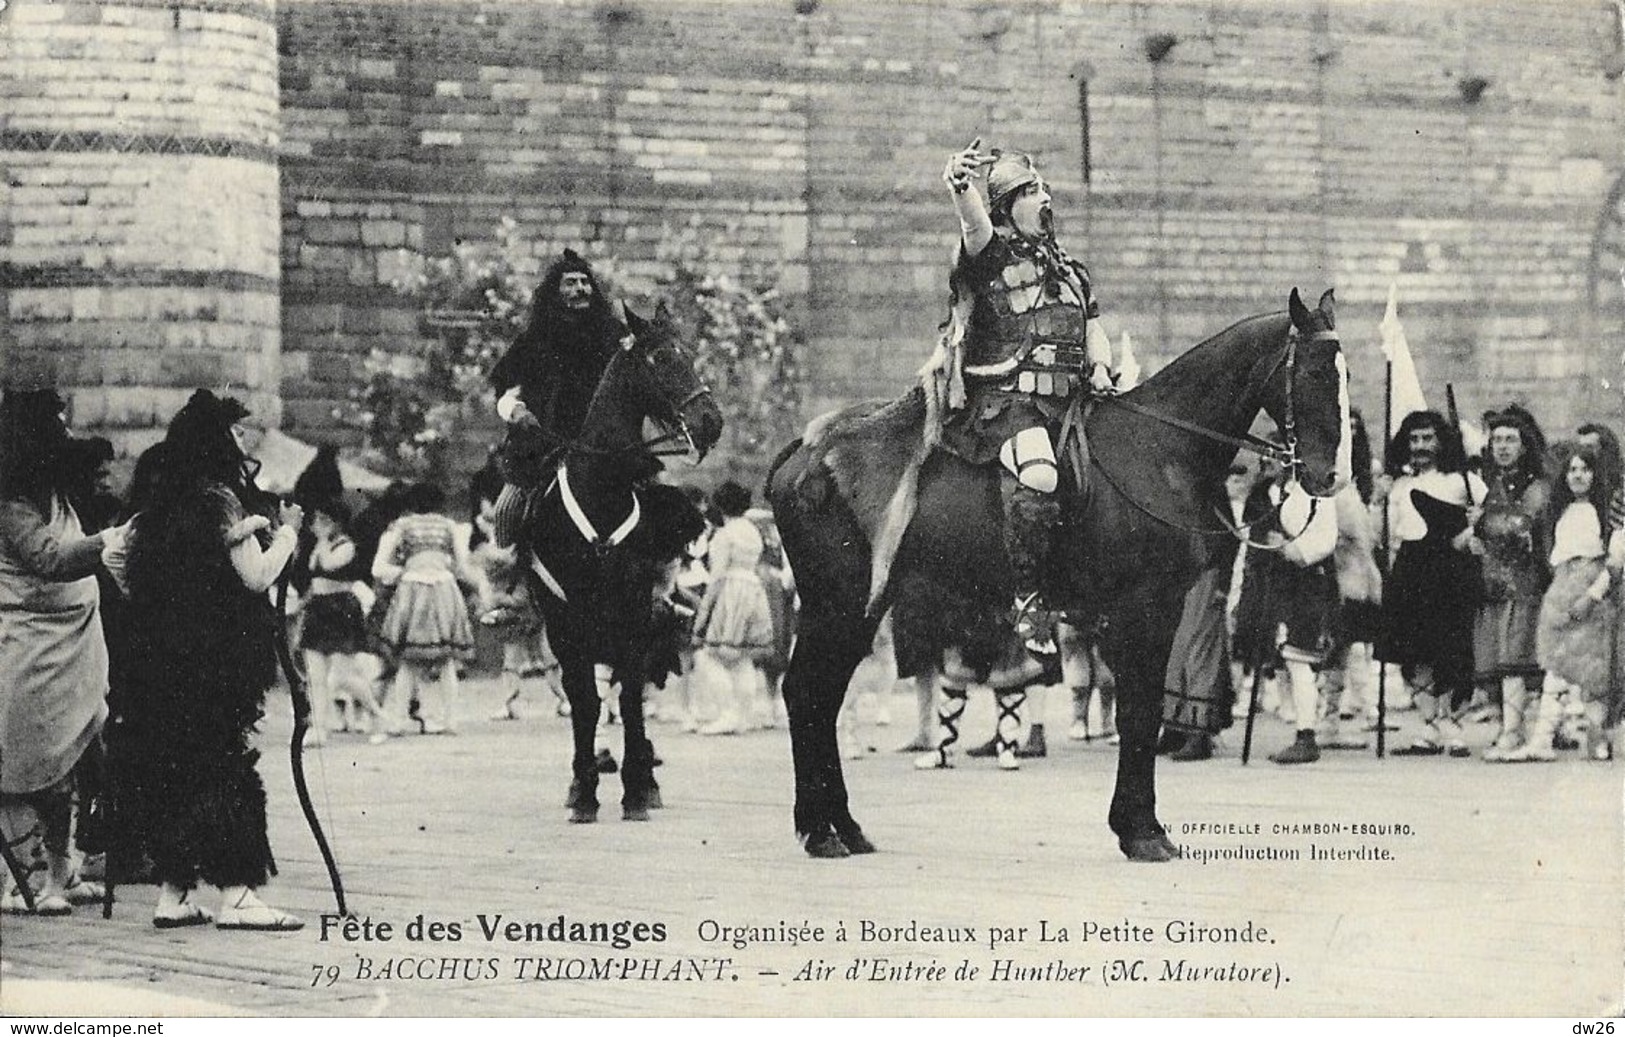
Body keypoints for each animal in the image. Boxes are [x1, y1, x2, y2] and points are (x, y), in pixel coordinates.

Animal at [520, 305, 724, 825]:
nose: (710, 422)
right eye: (660, 359)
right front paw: (583, 791)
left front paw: (637, 790)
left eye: (688, 354)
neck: (602, 492)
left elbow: (631, 697)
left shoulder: (634, 612)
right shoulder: (568, 621)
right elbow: (585, 702)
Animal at [767, 286, 1352, 858]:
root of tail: (807, 450)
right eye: (1315, 373)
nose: (1331, 478)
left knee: (820, 695)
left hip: (859, 609)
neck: (1157, 448)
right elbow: (1138, 714)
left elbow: (1138, 710)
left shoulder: (1151, 611)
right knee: (806, 693)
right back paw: (821, 830)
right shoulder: (1142, 608)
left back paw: (841, 826)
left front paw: (1140, 824)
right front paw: (1141, 830)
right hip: (839, 607)